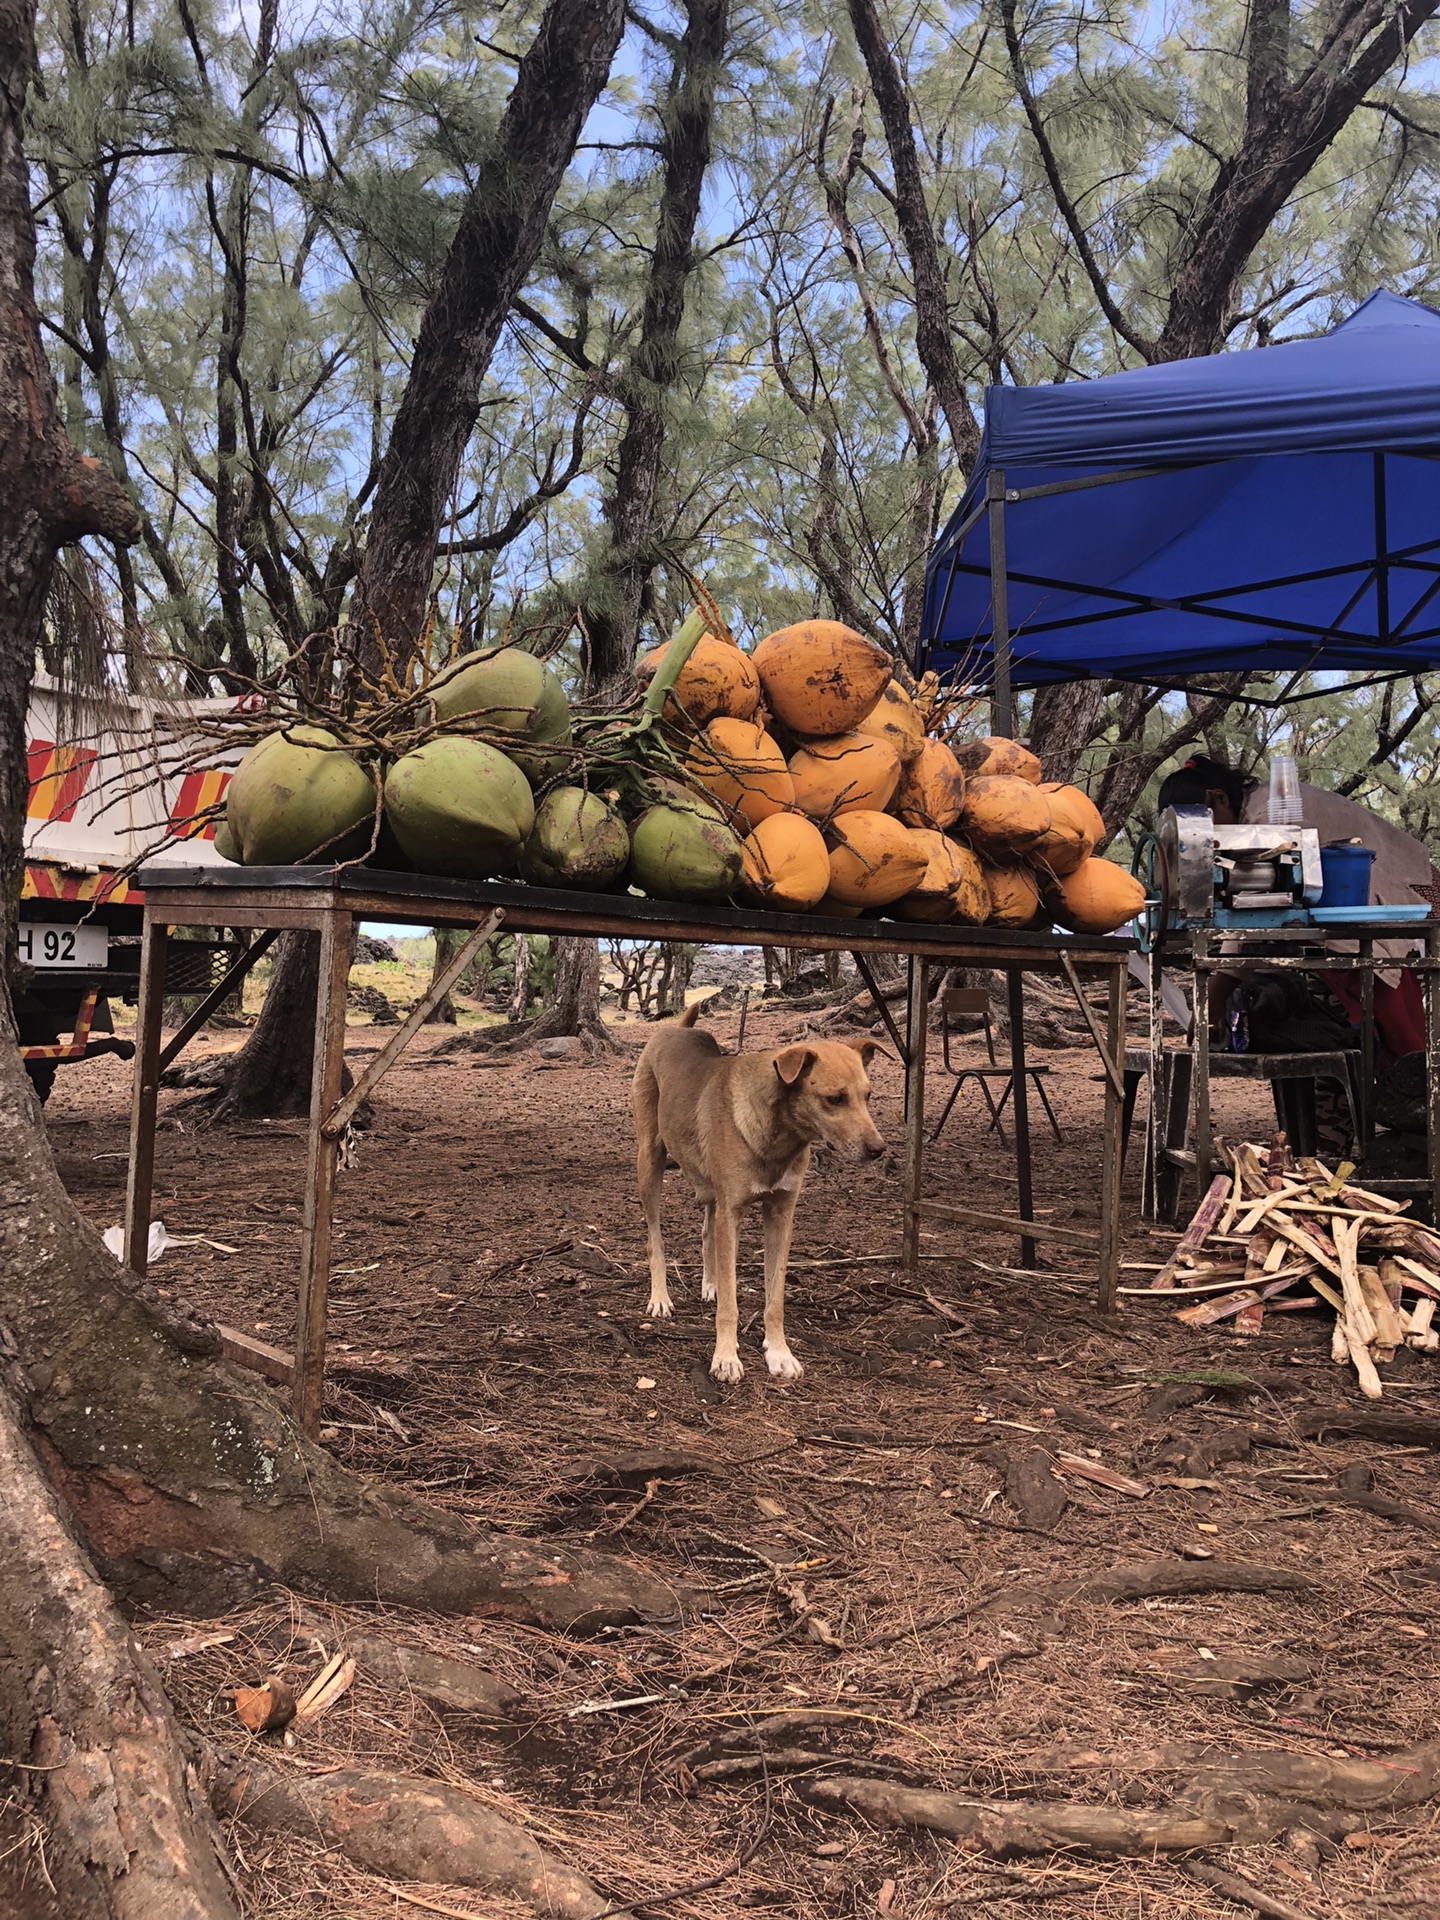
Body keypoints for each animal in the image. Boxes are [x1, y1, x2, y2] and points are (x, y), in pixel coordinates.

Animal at [633, 1006, 887, 1382]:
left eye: (868, 1096)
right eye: (834, 1099)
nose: (878, 1149)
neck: (779, 1137)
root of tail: (674, 1029)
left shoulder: (780, 1217)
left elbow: (775, 1299)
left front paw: (779, 1352)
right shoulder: (732, 1215)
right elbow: (730, 1304)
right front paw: (725, 1357)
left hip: (708, 1186)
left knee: (707, 1231)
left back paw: (710, 1283)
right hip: (650, 1162)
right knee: (655, 1238)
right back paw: (661, 1297)